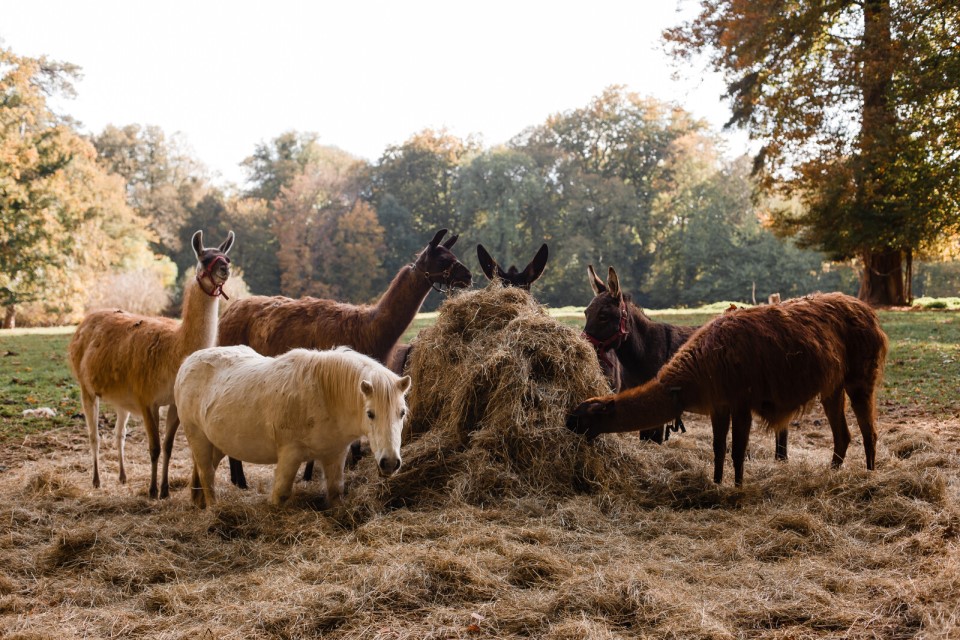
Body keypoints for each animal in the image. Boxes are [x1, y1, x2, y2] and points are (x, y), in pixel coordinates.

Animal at [174, 348, 410, 508]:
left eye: (402, 413)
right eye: (370, 413)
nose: (390, 463)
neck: (325, 395)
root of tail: (187, 362)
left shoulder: (334, 454)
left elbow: (335, 491)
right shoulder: (290, 455)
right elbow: (281, 494)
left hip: (217, 444)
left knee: (205, 471)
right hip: (198, 438)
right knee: (207, 475)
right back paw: (213, 509)